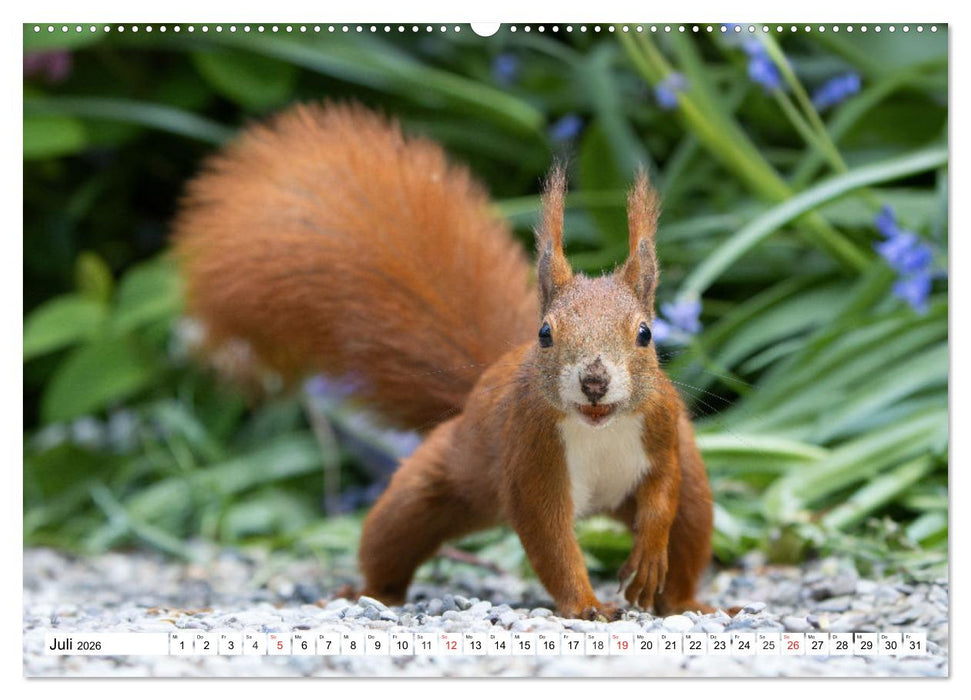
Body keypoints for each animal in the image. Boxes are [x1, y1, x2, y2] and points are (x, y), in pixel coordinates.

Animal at [173, 102, 717, 620]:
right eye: (545, 334)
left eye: (645, 334)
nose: (595, 380)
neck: (597, 427)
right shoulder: (529, 447)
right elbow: (549, 536)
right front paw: (586, 604)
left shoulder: (662, 425)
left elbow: (663, 490)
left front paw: (648, 554)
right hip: (436, 483)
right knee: (394, 534)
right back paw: (370, 591)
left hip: (695, 494)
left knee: (688, 524)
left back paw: (685, 601)